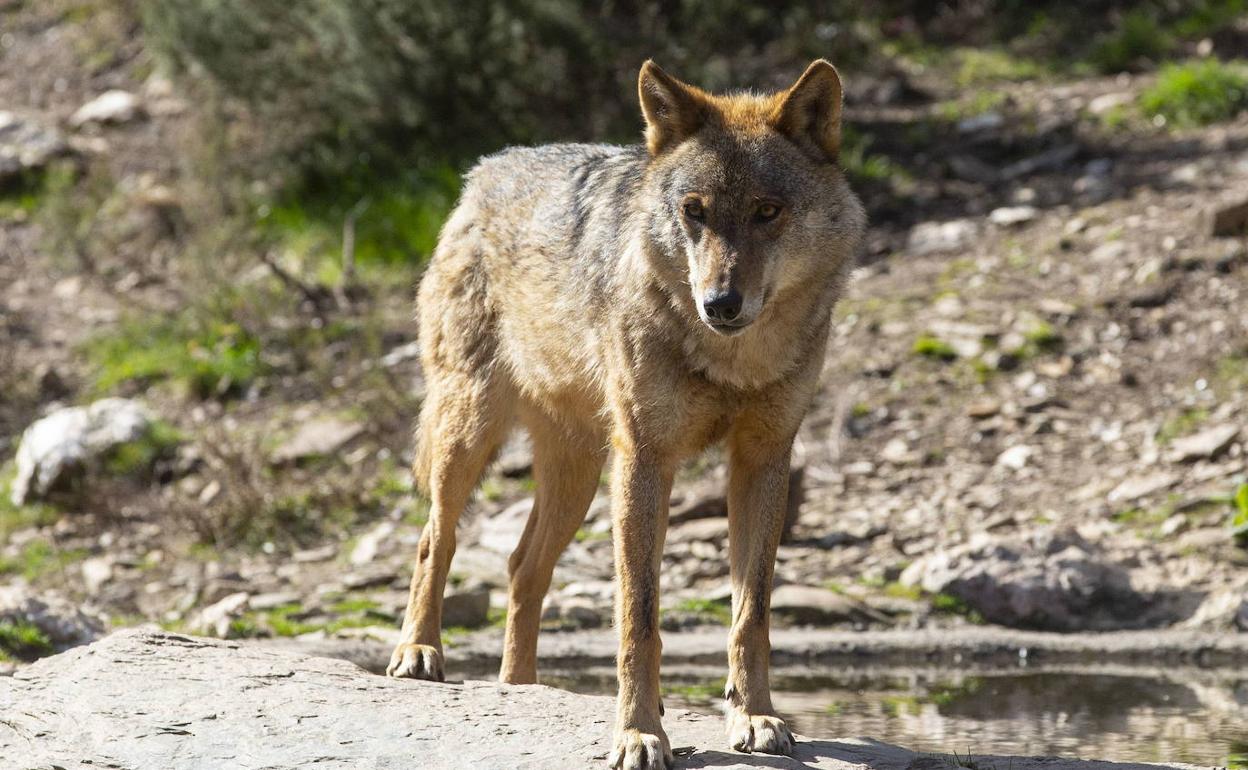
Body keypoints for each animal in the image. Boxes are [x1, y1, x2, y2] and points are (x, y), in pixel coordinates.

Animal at [389, 59, 868, 768]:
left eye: (768, 212)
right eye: (693, 212)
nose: (720, 303)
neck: (734, 359)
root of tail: (484, 171)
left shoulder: (762, 460)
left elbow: (751, 614)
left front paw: (754, 717)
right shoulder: (646, 460)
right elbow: (638, 618)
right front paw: (640, 733)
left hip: (580, 478)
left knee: (522, 568)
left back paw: (519, 687)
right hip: (470, 434)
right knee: (434, 540)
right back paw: (419, 652)